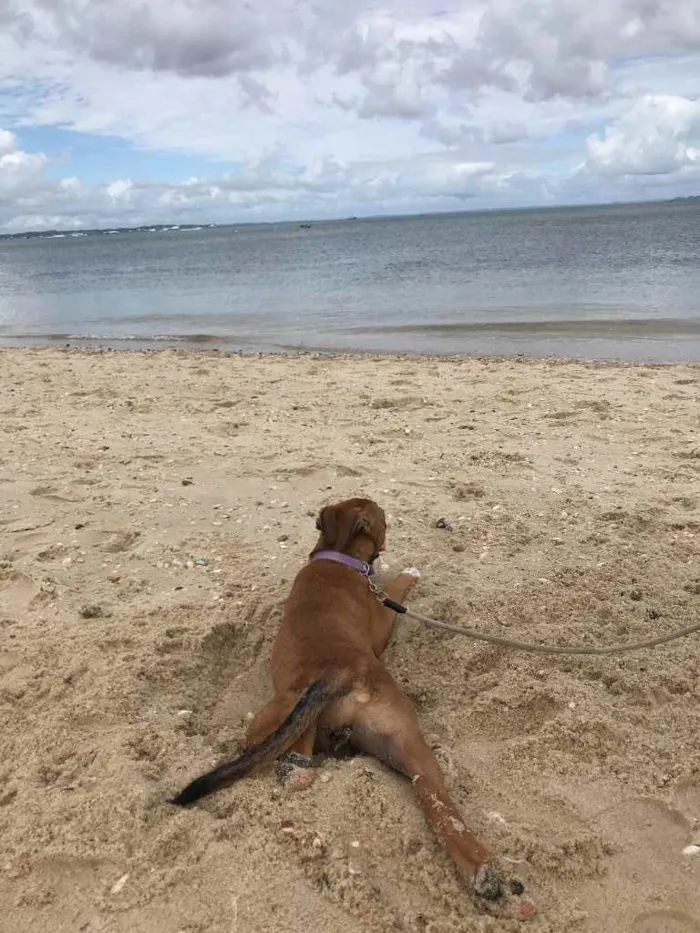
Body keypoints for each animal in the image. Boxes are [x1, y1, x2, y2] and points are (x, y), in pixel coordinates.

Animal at [171, 498, 520, 908]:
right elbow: (395, 589)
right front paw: (408, 571)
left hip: (343, 724)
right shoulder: (382, 620)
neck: (336, 556)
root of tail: (341, 673)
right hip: (353, 728)